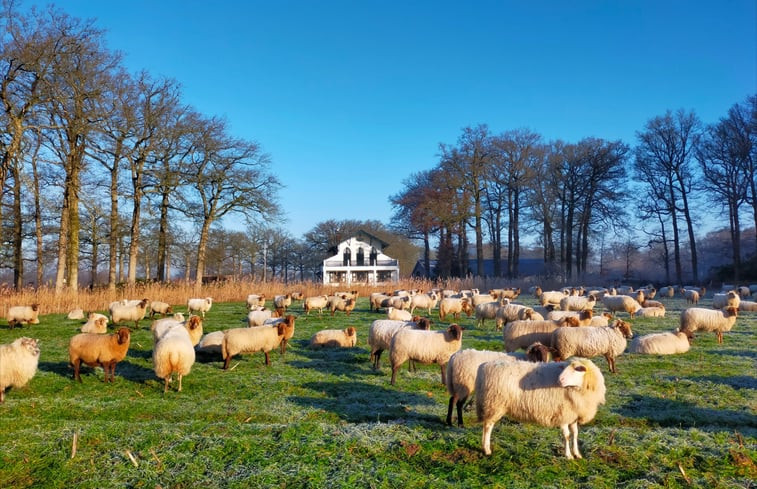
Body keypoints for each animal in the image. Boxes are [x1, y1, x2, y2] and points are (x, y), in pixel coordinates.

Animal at [476, 354, 604, 458]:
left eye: (577, 369)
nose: (559, 380)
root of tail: (484, 366)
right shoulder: (563, 413)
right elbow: (567, 435)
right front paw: (568, 456)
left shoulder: (573, 414)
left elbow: (575, 434)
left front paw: (577, 454)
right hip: (495, 404)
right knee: (488, 426)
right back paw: (487, 449)